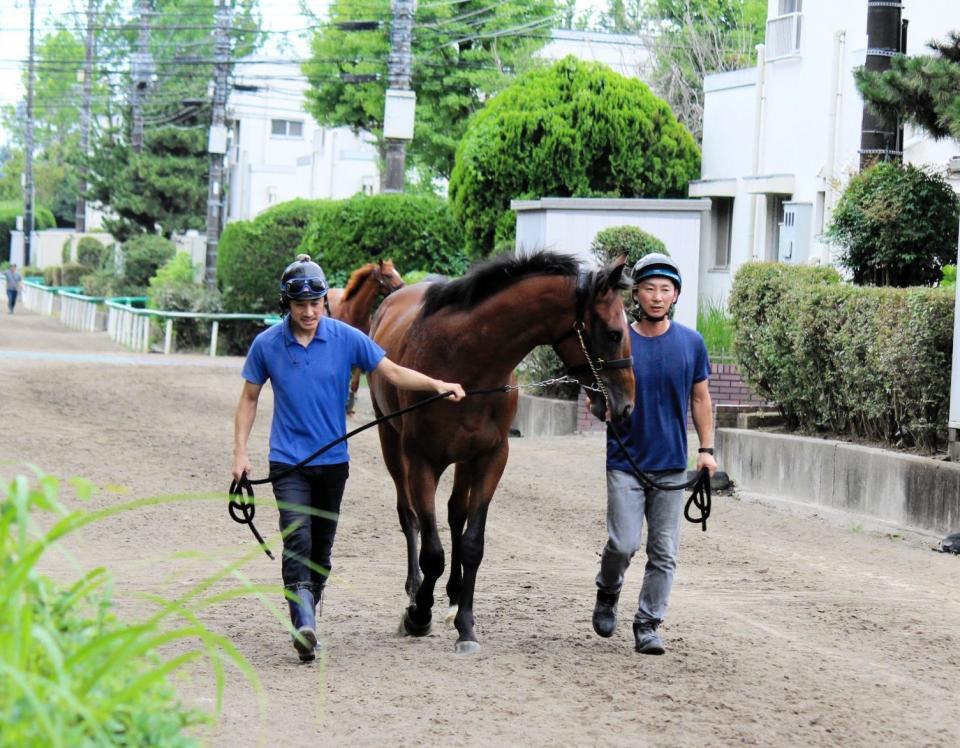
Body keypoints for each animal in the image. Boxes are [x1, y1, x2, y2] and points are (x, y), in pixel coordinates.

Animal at [326, 260, 404, 414]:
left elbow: (355, 382)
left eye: (396, 272)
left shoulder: (361, 350)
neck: (353, 312)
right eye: (388, 275)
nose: (403, 288)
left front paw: (350, 404)